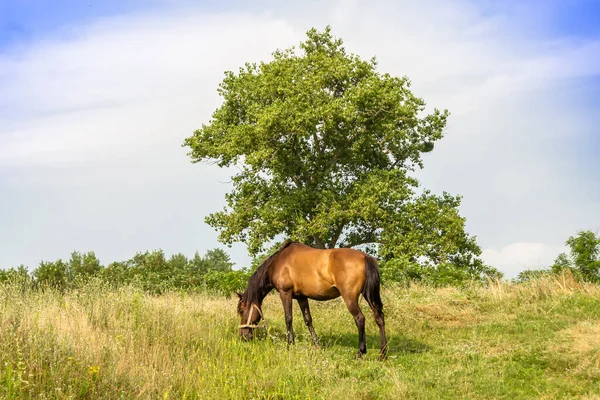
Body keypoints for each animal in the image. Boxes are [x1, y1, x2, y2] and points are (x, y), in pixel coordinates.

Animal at [236, 239, 390, 360]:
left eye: (241, 310)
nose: (243, 336)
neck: (278, 262)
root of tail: (365, 257)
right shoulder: (301, 297)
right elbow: (308, 320)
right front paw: (316, 344)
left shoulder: (285, 293)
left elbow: (288, 318)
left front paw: (290, 344)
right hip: (369, 296)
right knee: (379, 318)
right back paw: (382, 354)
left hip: (350, 297)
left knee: (360, 319)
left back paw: (360, 352)